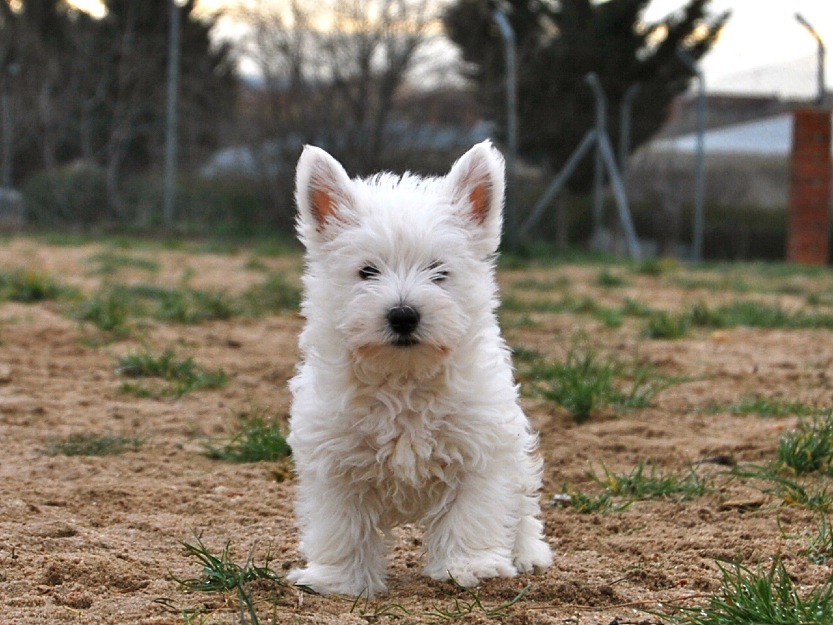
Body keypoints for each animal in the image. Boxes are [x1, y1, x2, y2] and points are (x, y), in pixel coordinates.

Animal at [286, 141, 552, 596]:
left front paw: (470, 567)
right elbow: (342, 525)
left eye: (439, 271)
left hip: (515, 458)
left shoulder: (478, 453)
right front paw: (338, 579)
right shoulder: (334, 459)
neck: (404, 378)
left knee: (521, 510)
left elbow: (472, 514)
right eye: (367, 271)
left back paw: (527, 554)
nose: (404, 315)